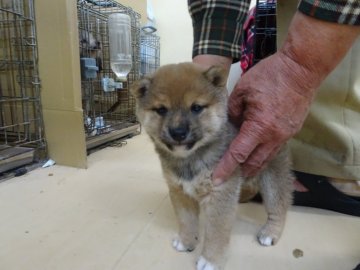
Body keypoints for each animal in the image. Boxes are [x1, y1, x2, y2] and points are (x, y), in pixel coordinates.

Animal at [131, 62, 294, 270]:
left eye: (196, 107)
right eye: (161, 110)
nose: (178, 132)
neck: (190, 159)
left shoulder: (220, 193)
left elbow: (216, 233)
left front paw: (211, 260)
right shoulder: (180, 191)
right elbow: (186, 221)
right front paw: (186, 241)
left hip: (272, 179)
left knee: (279, 208)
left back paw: (270, 232)